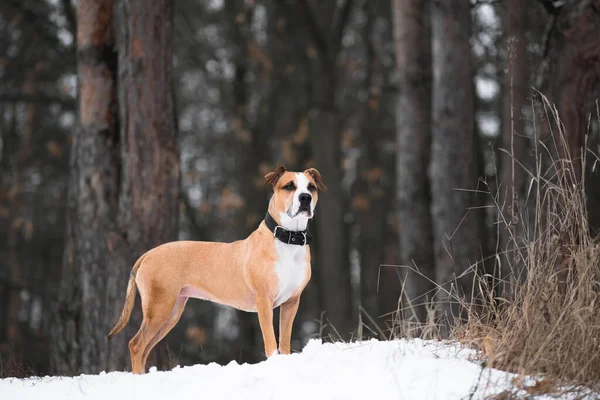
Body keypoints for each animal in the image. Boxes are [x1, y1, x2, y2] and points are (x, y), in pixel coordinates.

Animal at [105, 166, 326, 376]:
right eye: (289, 186)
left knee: (145, 348)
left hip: (171, 312)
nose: (305, 198)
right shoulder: (264, 300)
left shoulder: (291, 302)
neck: (288, 238)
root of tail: (148, 254)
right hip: (159, 308)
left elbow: (285, 341)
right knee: (136, 345)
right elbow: (271, 342)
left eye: (311, 187)